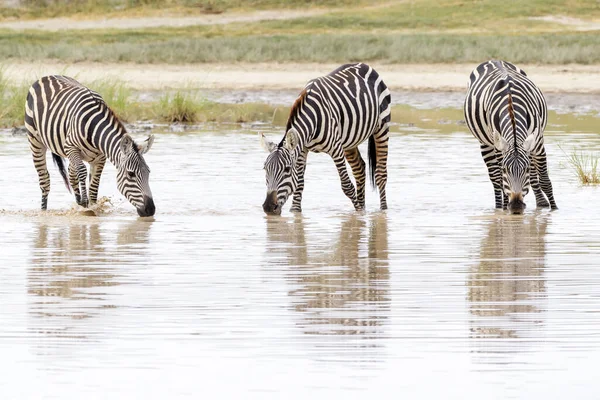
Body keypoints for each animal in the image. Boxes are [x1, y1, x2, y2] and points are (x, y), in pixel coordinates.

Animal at [24, 76, 156, 217]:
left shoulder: (100, 157)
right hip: (36, 141)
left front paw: (93, 207)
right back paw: (44, 211)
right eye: (131, 174)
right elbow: (82, 171)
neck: (94, 130)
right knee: (44, 178)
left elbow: (94, 184)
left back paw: (78, 203)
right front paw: (86, 204)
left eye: (148, 172)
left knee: (71, 176)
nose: (150, 210)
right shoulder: (71, 147)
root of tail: (48, 76)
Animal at [260, 61, 392, 216]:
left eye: (287, 169)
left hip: (382, 127)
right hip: (349, 142)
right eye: (265, 169)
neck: (311, 121)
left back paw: (383, 211)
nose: (268, 207)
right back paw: (364, 207)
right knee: (359, 169)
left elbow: (347, 186)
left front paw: (358, 213)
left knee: (381, 174)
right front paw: (296, 212)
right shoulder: (302, 150)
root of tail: (364, 64)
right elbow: (299, 184)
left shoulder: (336, 149)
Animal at [464, 59, 556, 214]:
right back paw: (498, 208)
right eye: (505, 170)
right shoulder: (499, 146)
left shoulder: (537, 142)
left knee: (534, 175)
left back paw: (542, 202)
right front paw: (505, 211)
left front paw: (554, 209)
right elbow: (501, 181)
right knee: (495, 179)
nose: (516, 206)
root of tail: (493, 60)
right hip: (485, 143)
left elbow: (544, 180)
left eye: (525, 170)